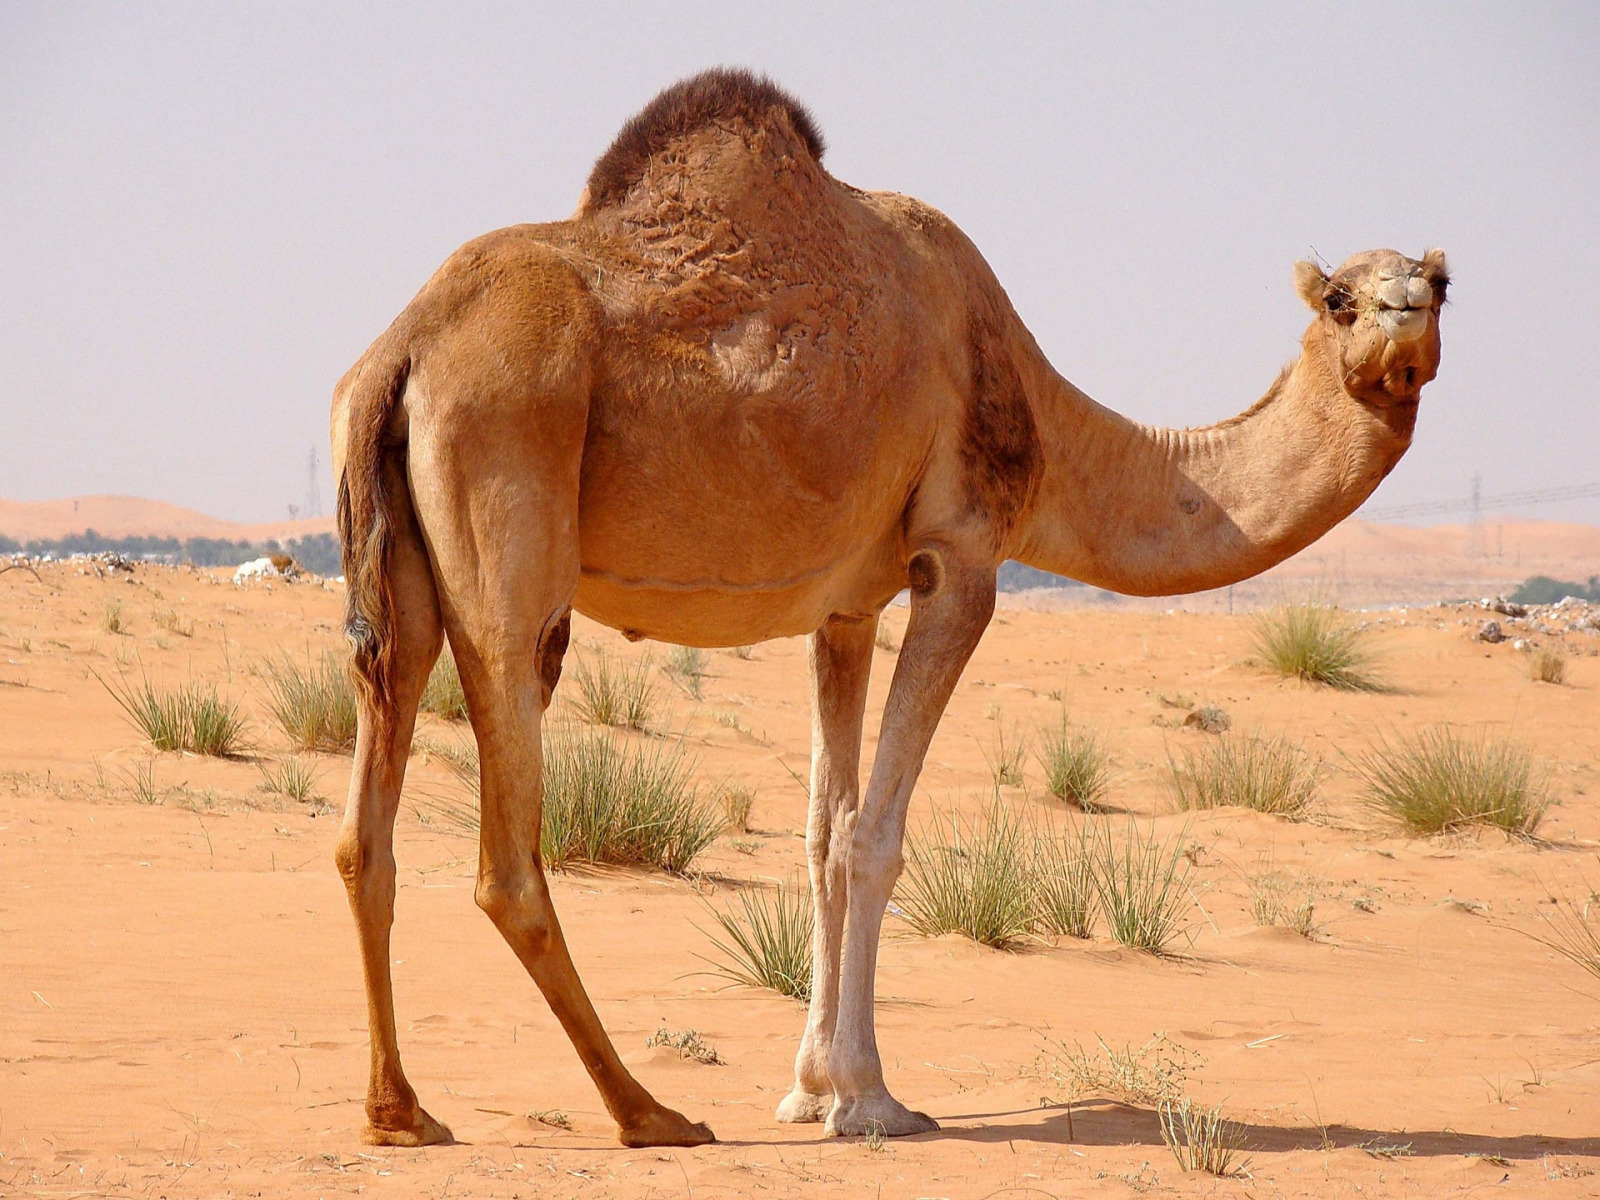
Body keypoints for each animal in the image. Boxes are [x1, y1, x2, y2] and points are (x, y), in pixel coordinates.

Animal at [328, 68, 1452, 1158]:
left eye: (1440, 284)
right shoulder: (959, 560)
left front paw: (807, 1088)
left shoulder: (845, 609)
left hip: (399, 568)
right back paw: (647, 1114)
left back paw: (402, 1112)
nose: (1403, 314)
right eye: (1341, 298)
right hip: (510, 498)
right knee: (508, 850)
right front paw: (868, 1100)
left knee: (365, 822)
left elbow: (822, 834)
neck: (1045, 417)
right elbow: (874, 835)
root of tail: (402, 350)